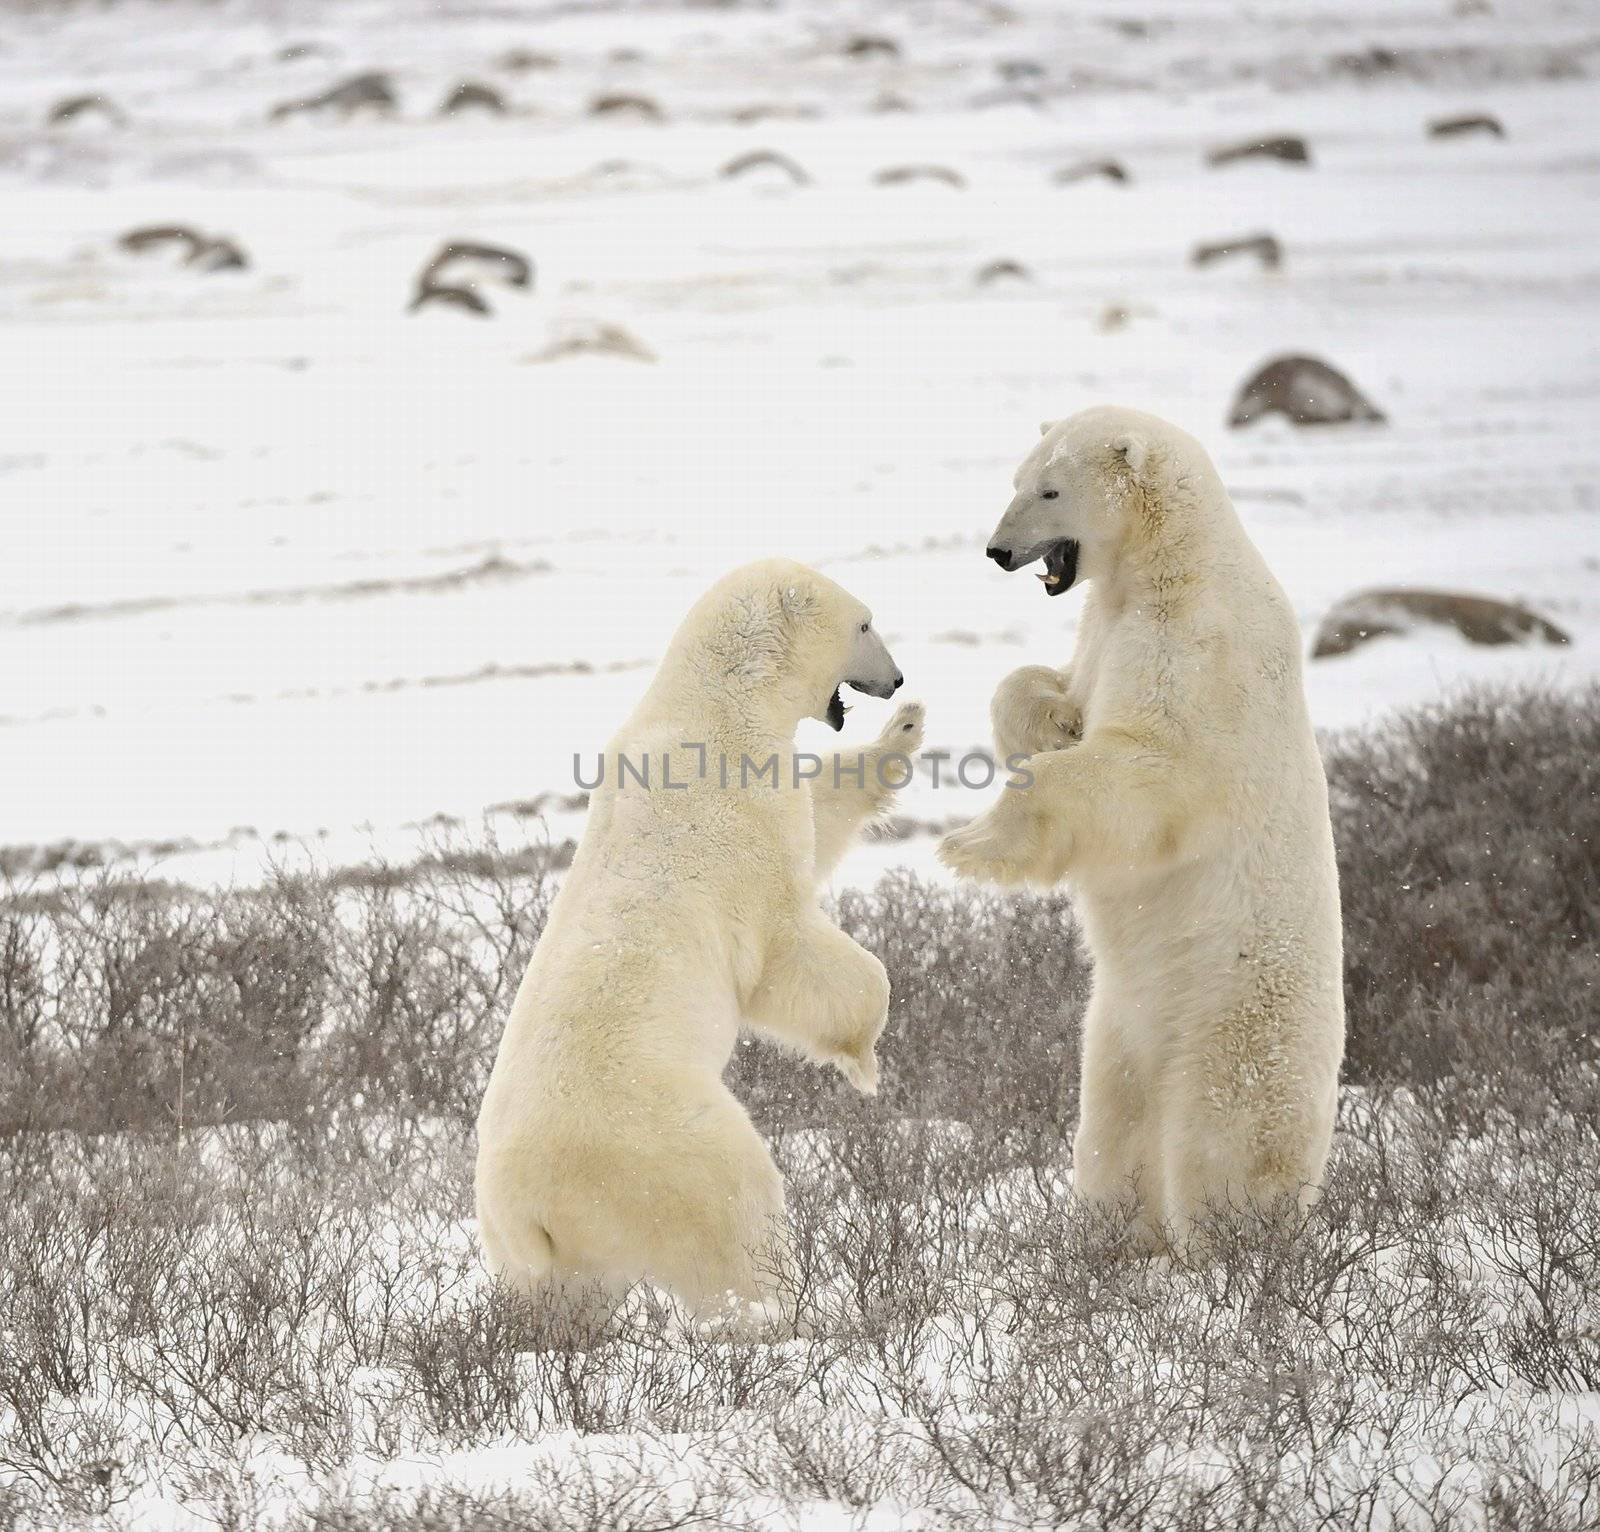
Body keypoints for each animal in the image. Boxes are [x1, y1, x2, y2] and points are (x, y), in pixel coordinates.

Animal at [473, 556, 928, 1324]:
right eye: (864, 623)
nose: (896, 680)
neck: (715, 706)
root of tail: (524, 1209)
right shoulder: (740, 832)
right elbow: (794, 951)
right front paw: (865, 1059)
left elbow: (822, 810)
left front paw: (907, 729)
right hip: (653, 1146)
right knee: (733, 1207)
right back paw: (782, 1307)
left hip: (545, 1252)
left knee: (567, 1302)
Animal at [940, 409, 1344, 1260]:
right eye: (1018, 478)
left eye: (1049, 489)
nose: (997, 551)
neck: (1169, 561)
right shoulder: (1106, 623)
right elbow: (1054, 686)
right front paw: (1050, 720)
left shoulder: (1197, 642)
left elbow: (1156, 768)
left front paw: (972, 844)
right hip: (1113, 1031)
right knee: (1110, 1136)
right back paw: (1109, 1242)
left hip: (1232, 1026)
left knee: (1219, 1148)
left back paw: (1229, 1253)